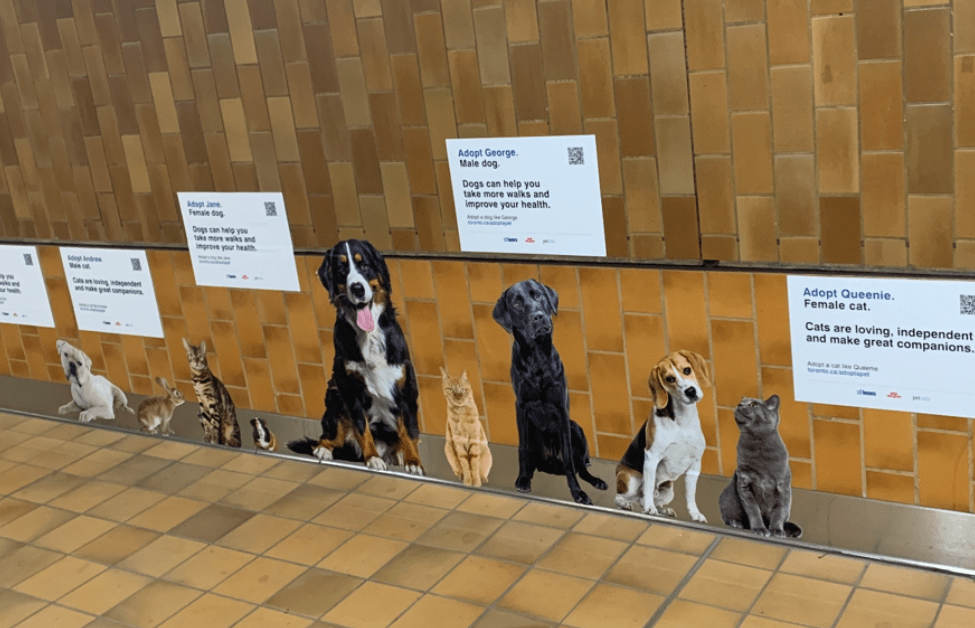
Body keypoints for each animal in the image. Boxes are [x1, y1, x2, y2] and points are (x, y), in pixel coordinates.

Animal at [286, 238, 424, 474]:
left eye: (364, 265)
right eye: (341, 269)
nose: (357, 288)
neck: (368, 335)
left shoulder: (405, 388)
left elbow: (409, 430)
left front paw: (413, 461)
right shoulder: (349, 388)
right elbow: (361, 427)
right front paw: (372, 458)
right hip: (334, 396)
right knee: (327, 436)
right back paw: (324, 450)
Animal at [492, 280, 608, 506]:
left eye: (537, 295)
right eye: (516, 303)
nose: (538, 316)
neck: (537, 357)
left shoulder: (561, 409)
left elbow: (570, 460)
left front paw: (577, 492)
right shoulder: (521, 406)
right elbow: (522, 448)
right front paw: (523, 479)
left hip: (575, 428)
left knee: (580, 466)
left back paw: (596, 481)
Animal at [616, 350, 708, 524]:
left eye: (687, 370)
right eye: (670, 379)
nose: (690, 391)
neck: (682, 422)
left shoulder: (695, 464)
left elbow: (691, 495)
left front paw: (695, 514)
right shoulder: (651, 457)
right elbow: (649, 485)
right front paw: (649, 509)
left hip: (668, 490)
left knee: (647, 499)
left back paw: (663, 510)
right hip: (631, 479)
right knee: (623, 497)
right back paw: (628, 504)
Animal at [720, 394, 804, 536]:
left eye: (753, 404)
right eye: (740, 403)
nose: (740, 405)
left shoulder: (782, 486)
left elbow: (778, 512)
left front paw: (777, 530)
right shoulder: (744, 482)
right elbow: (753, 510)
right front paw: (759, 529)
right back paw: (736, 522)